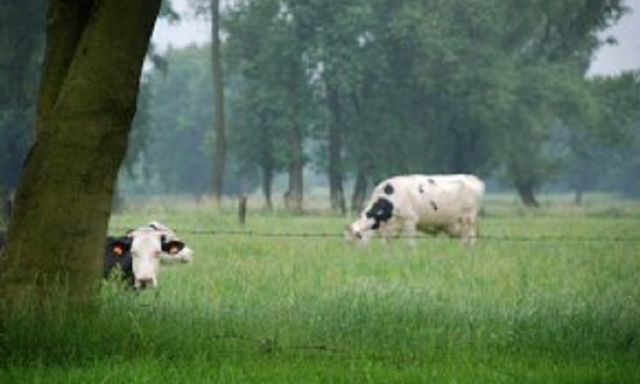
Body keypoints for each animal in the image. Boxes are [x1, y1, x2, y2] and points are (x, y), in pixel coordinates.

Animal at [348, 175, 482, 246]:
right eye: (346, 241)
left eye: (354, 240)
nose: (353, 258)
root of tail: (474, 179)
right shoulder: (390, 227)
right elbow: (388, 244)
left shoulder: (410, 220)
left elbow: (410, 244)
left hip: (468, 219)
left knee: (471, 238)